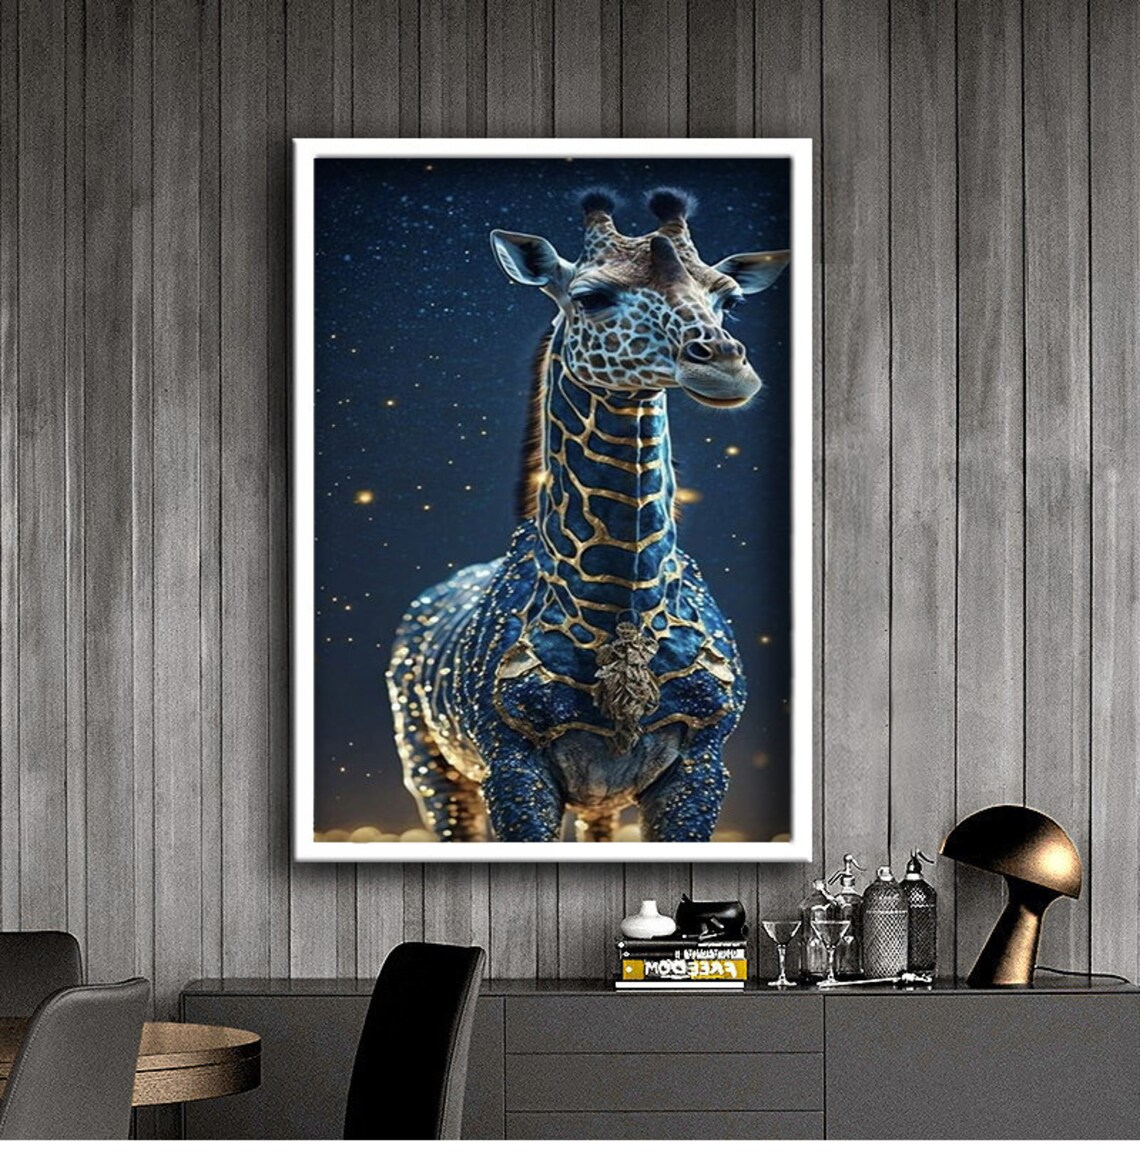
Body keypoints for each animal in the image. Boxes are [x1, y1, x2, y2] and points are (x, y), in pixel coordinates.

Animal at [387, 188, 789, 842]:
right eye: (590, 297)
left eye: (728, 299)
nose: (726, 365)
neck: (619, 608)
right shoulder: (511, 764)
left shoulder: (702, 765)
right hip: (428, 764)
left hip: (596, 797)